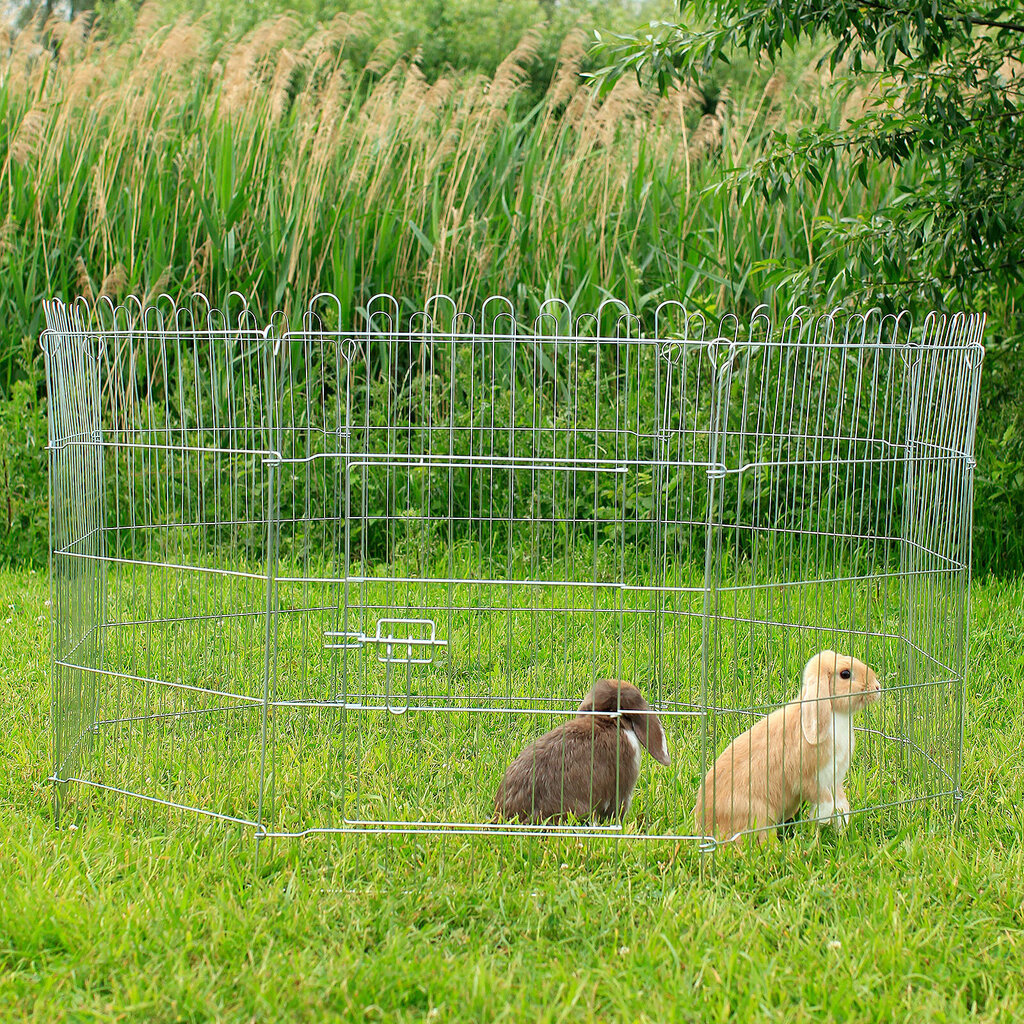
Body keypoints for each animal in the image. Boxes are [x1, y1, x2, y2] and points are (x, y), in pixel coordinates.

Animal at [696, 651, 880, 843]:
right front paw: (819, 819)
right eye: (845, 674)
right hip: (758, 812)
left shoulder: (834, 779)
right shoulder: (808, 779)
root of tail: (704, 825)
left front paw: (842, 828)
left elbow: (842, 803)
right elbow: (826, 801)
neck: (834, 713)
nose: (877, 687)